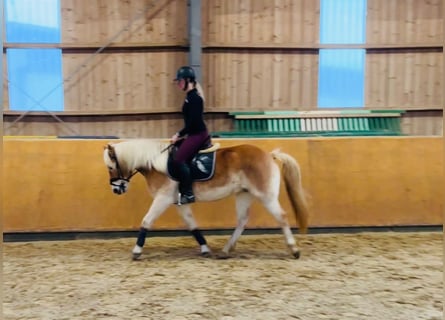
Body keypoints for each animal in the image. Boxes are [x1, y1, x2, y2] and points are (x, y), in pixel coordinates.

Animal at [102, 139, 308, 258]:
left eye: (110, 167)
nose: (116, 189)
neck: (156, 164)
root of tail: (269, 155)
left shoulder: (162, 199)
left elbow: (146, 221)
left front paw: (137, 251)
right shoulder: (179, 202)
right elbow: (192, 225)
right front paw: (205, 249)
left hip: (265, 195)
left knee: (282, 217)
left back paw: (295, 250)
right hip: (244, 194)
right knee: (242, 220)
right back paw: (226, 250)